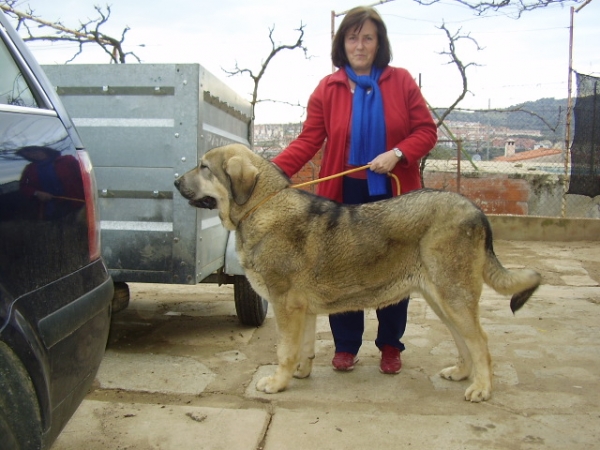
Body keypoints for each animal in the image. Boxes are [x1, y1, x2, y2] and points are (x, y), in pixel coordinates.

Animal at [173, 143, 540, 400]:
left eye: (204, 167)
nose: (175, 182)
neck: (262, 206)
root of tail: (475, 209)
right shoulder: (303, 310)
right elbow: (303, 348)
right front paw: (300, 374)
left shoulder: (284, 305)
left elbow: (284, 350)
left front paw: (278, 383)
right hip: (442, 300)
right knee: (464, 341)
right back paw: (463, 374)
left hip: (453, 297)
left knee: (481, 342)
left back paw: (482, 388)